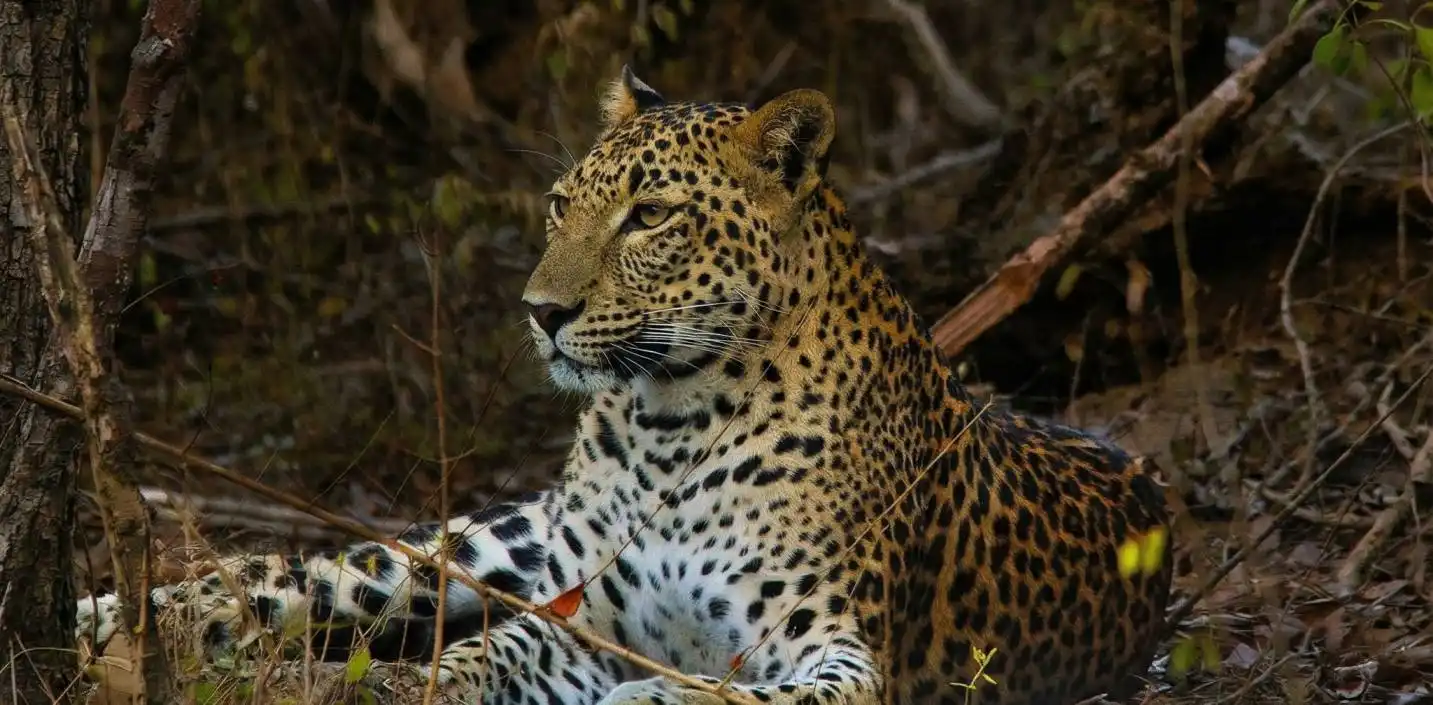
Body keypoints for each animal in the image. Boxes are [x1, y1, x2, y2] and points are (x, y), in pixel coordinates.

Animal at [76, 67, 1174, 705]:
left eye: (649, 217)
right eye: (561, 203)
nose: (539, 310)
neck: (671, 424)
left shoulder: (839, 651)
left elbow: (738, 694)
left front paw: (661, 697)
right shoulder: (584, 621)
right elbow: (483, 656)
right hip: (493, 544)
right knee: (308, 576)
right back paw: (116, 616)